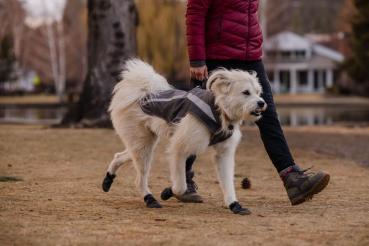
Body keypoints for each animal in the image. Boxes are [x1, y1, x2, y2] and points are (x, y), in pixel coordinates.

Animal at [102, 59, 266, 215]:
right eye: (246, 92)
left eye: (258, 92)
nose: (262, 103)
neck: (219, 109)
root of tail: (143, 93)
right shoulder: (179, 150)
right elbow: (180, 186)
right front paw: (169, 192)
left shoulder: (223, 154)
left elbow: (228, 183)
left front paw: (234, 205)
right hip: (143, 146)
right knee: (140, 179)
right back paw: (150, 199)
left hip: (143, 144)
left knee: (120, 156)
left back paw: (108, 179)